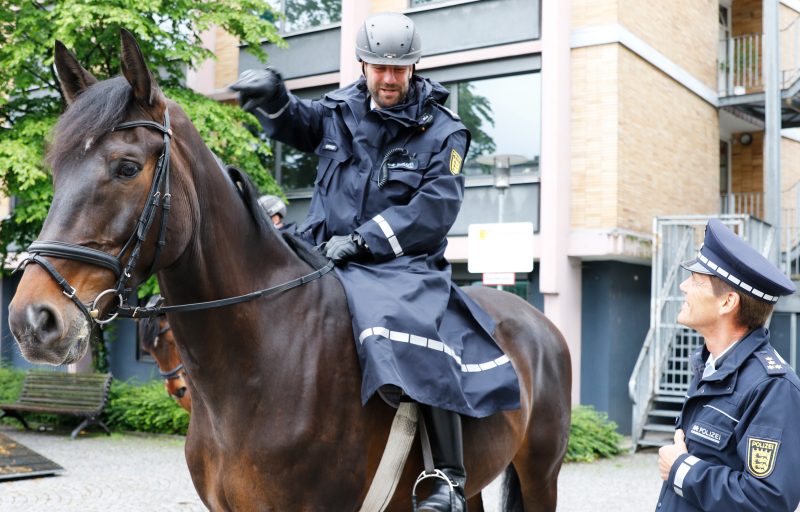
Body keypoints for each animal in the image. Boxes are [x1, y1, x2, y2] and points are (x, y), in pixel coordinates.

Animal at [6, 33, 568, 512]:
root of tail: (538, 323)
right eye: (55, 170)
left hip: (541, 473)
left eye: (126, 167)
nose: (32, 321)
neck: (263, 359)